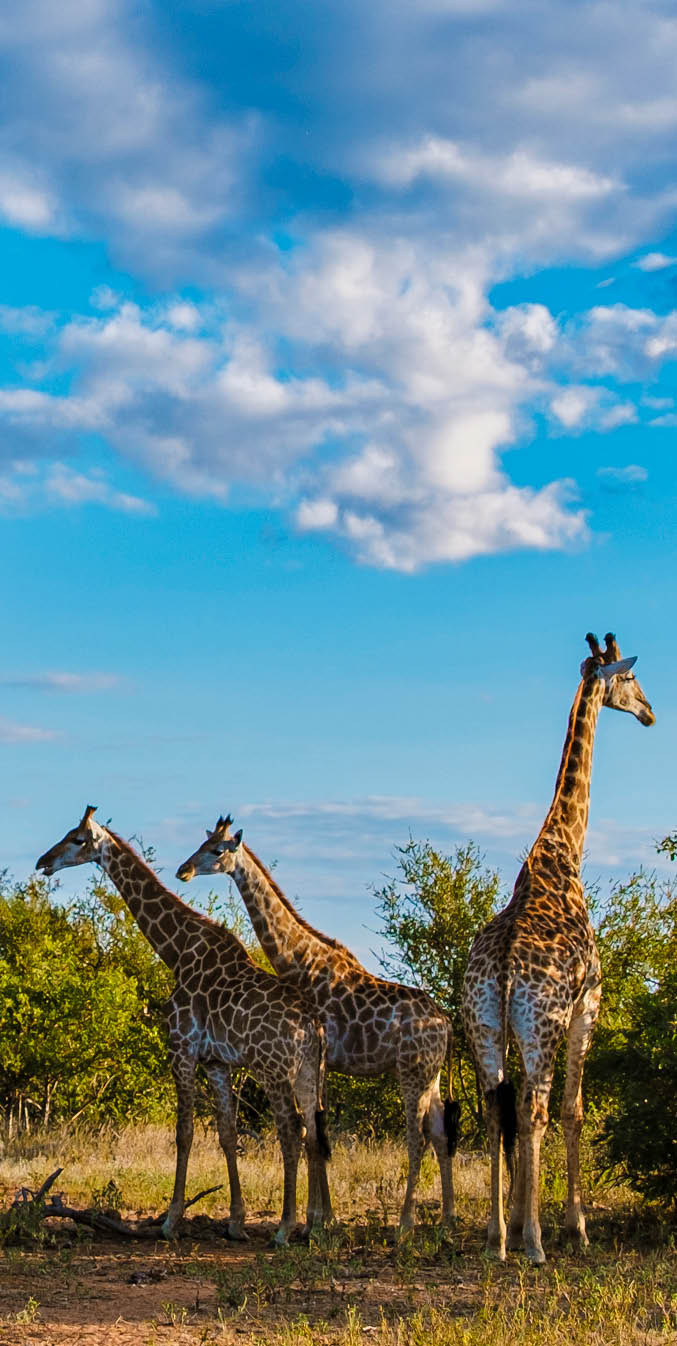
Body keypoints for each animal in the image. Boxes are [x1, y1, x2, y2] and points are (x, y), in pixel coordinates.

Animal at [36, 806, 332, 1244]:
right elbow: (226, 1134)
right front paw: (235, 1223)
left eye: (77, 839)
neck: (175, 951)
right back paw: (312, 1225)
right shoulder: (216, 1062)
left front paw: (171, 1221)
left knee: (291, 1131)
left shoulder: (182, 1047)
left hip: (273, 1069)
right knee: (313, 1131)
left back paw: (284, 1228)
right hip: (310, 1071)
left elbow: (184, 1132)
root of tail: (313, 1025)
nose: (43, 861)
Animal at [176, 823, 460, 1233]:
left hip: (412, 1072)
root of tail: (447, 1024)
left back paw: (406, 1224)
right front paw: (324, 1217)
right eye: (203, 842)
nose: (183, 870)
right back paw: (448, 1219)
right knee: (439, 1134)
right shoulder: (321, 1062)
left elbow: (314, 1131)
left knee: (417, 1137)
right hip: (431, 1075)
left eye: (217, 850)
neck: (298, 960)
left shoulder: (318, 1057)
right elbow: (318, 1131)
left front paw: (315, 1220)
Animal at [462, 632, 655, 1264]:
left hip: (485, 1026)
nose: (650, 713)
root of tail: (501, 972)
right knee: (537, 1110)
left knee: (498, 1108)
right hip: (542, 1024)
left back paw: (497, 1238)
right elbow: (573, 1111)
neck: (561, 850)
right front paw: (574, 1226)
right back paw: (537, 1244)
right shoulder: (586, 1005)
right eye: (631, 679)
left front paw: (520, 1220)